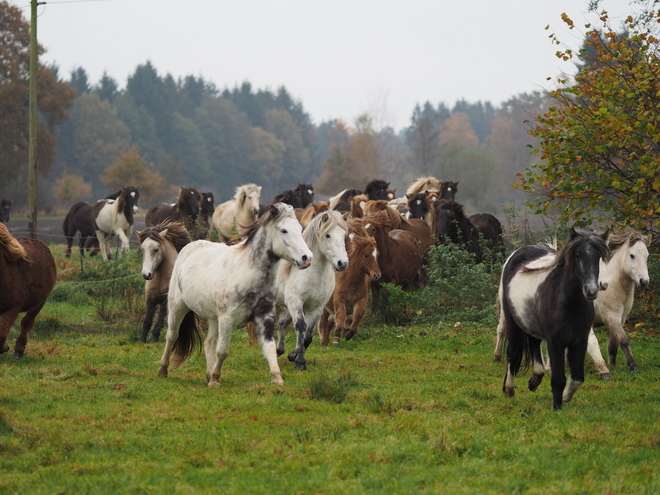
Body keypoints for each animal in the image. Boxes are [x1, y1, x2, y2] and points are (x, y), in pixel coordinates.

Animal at [0, 223, 56, 358]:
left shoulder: (13, 308)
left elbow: (2, 331)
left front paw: (4, 347)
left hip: (39, 302)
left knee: (27, 322)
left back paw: (19, 350)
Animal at [157, 202, 312, 388]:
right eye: (284, 230)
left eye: (299, 228)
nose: (307, 258)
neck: (248, 274)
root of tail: (189, 247)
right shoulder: (227, 319)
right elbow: (222, 351)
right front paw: (216, 379)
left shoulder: (265, 316)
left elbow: (269, 347)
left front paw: (277, 379)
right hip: (177, 307)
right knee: (172, 336)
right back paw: (163, 370)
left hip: (213, 316)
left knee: (209, 342)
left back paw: (208, 375)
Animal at [274, 211, 350, 370]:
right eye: (327, 235)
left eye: (344, 235)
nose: (342, 263)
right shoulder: (296, 301)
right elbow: (301, 327)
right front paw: (299, 362)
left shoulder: (316, 307)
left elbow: (308, 334)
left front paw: (293, 356)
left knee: (282, 322)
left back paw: (279, 350)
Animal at [498, 230, 612, 410]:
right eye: (577, 255)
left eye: (599, 257)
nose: (592, 290)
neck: (569, 303)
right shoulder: (555, 342)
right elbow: (558, 379)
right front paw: (557, 407)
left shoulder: (579, 341)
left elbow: (577, 378)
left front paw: (565, 397)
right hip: (513, 323)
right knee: (514, 353)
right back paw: (509, 388)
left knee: (534, 344)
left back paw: (534, 380)